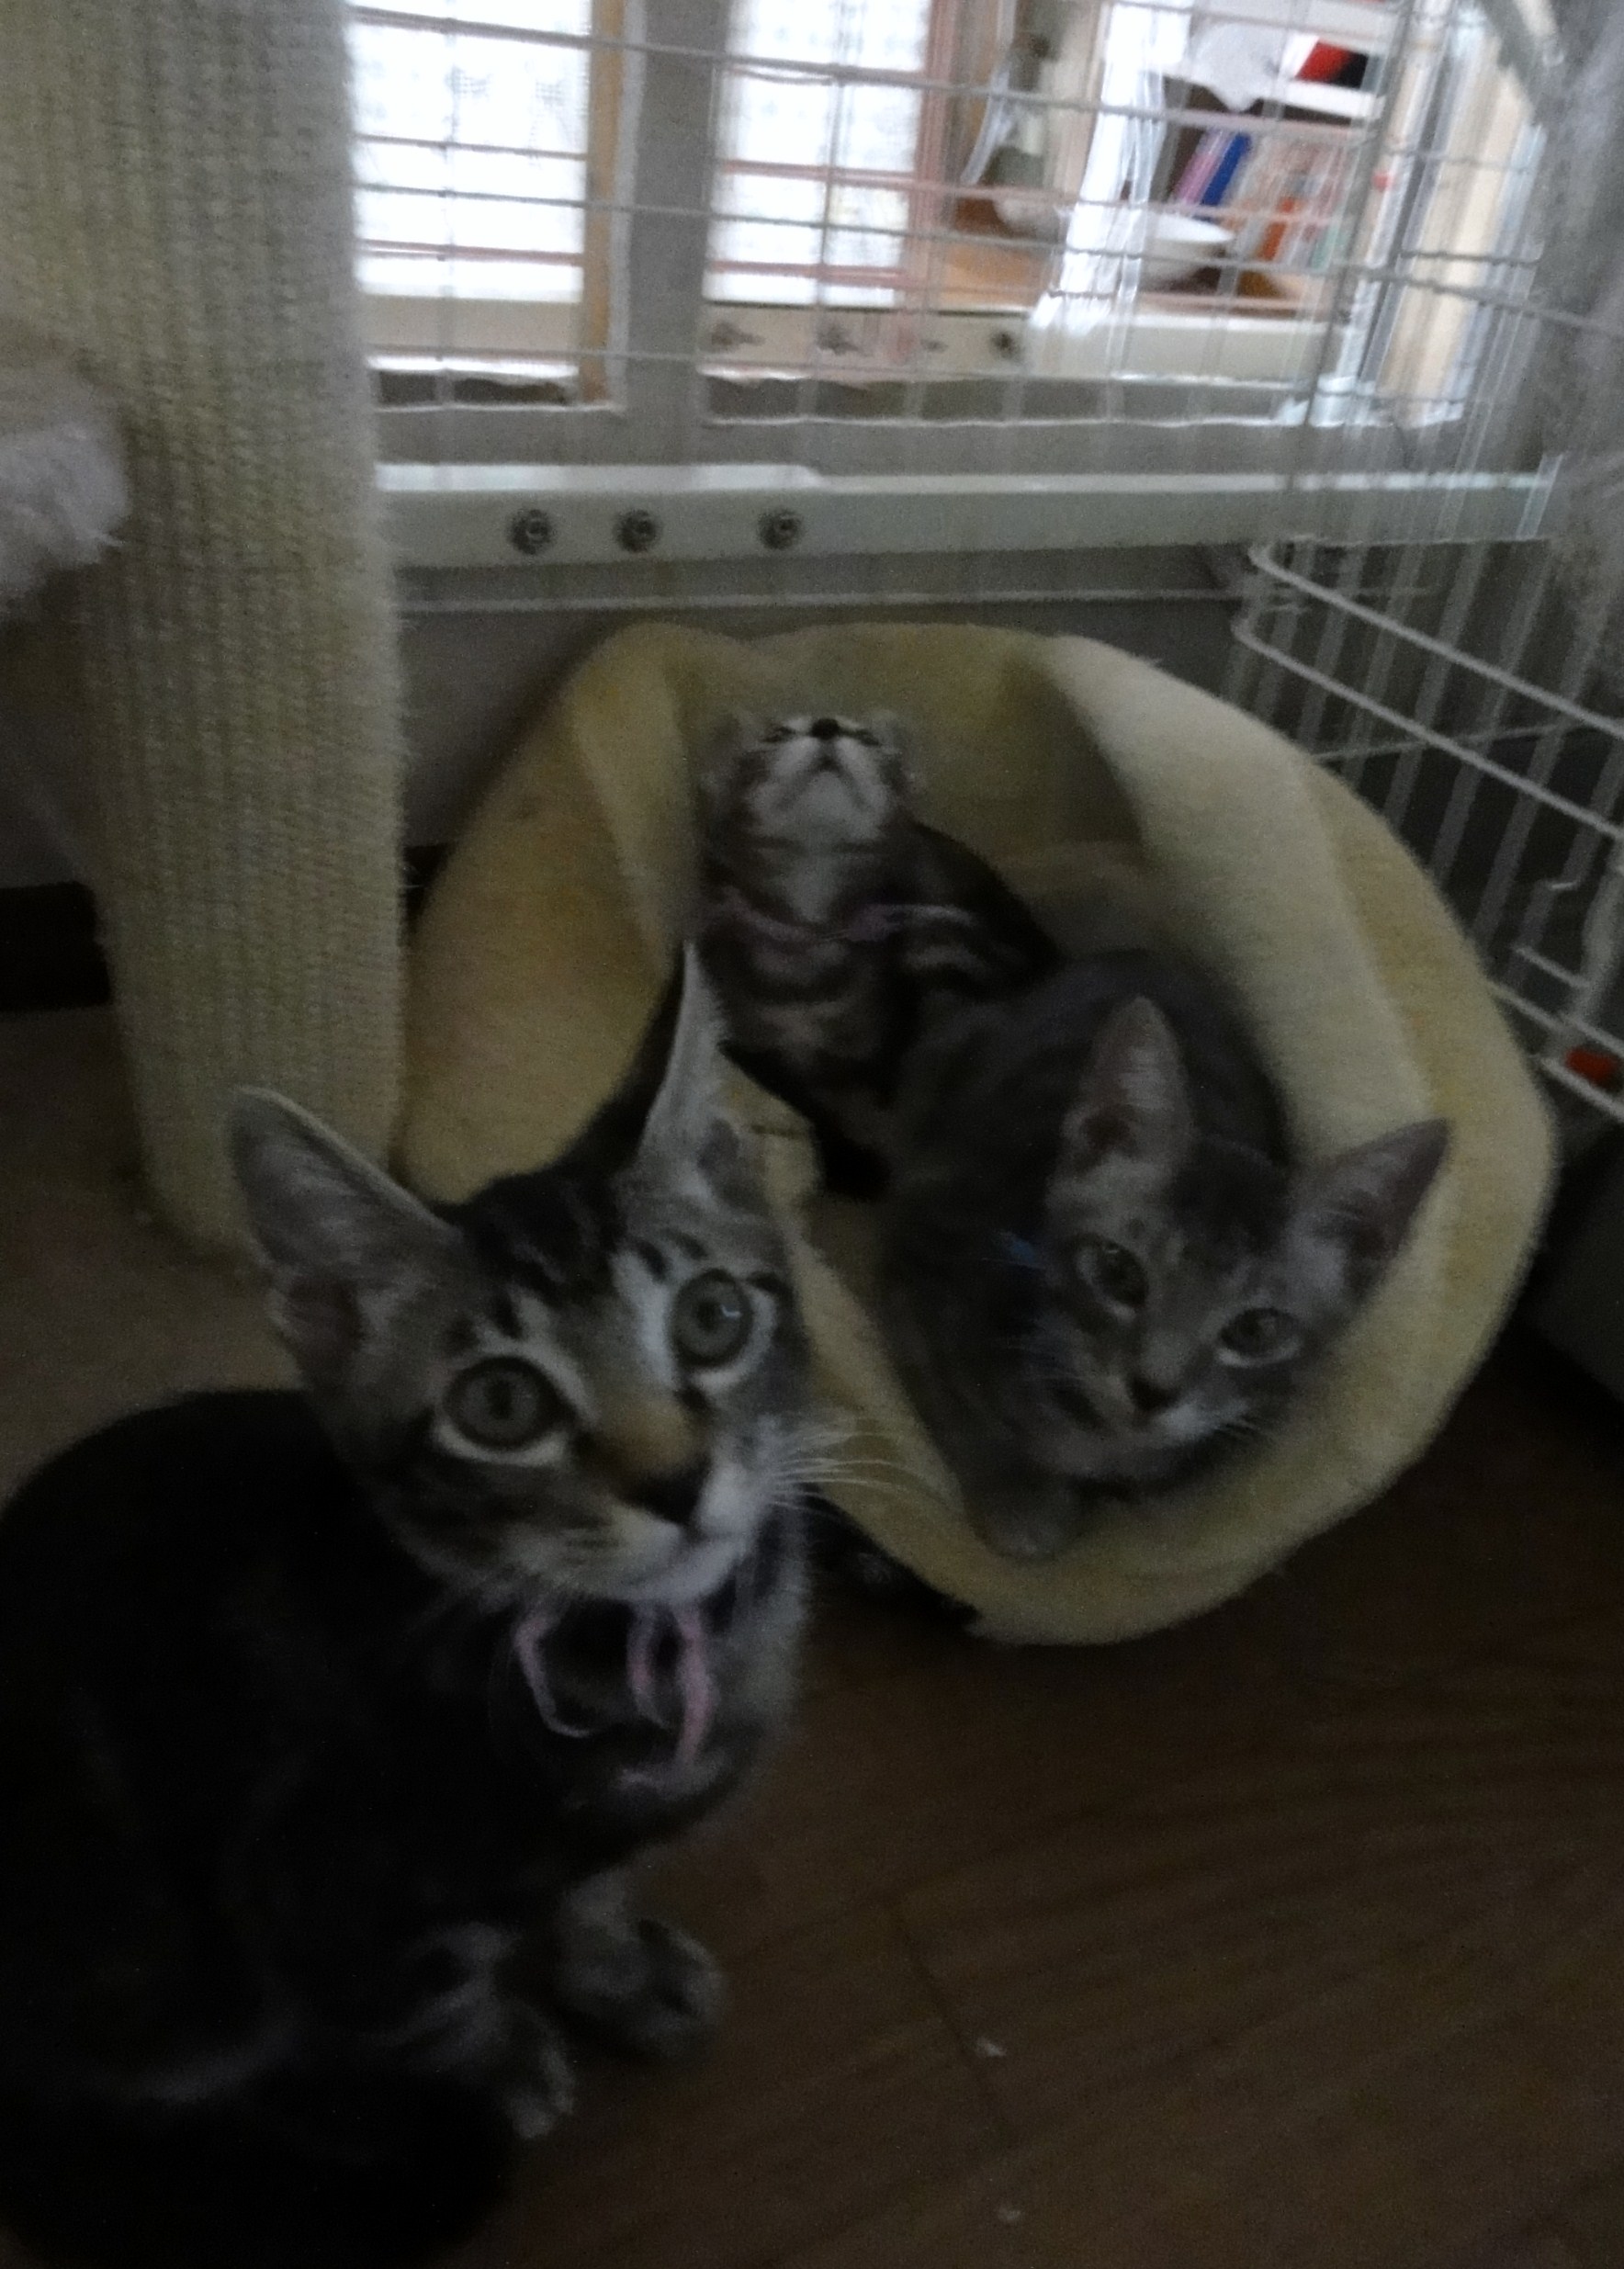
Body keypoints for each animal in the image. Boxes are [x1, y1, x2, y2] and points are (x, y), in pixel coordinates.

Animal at [0, 952, 817, 2269]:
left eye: (713, 1317)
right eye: (500, 1403)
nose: (675, 1480)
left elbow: (589, 1890)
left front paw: (618, 1969)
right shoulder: (325, 1896)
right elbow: (435, 2002)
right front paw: (511, 2058)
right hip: (160, 1973)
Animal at [696, 709, 1061, 1197]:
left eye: (866, 737)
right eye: (774, 734)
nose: (827, 724)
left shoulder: (883, 1032)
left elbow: (878, 1089)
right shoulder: (752, 1046)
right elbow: (804, 1104)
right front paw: (847, 1162)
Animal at [881, 951, 1448, 1562]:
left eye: (1256, 1329)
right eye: (1117, 1270)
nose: (1152, 1392)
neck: (1094, 1434)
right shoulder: (921, 1251)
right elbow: (955, 1407)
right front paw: (1017, 1494)